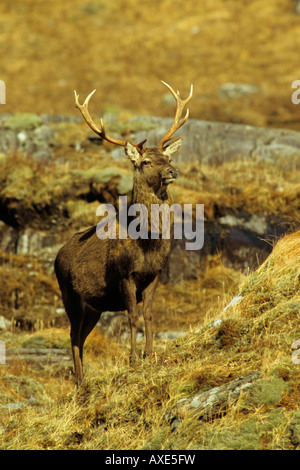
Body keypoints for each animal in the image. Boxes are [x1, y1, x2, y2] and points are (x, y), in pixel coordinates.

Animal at [54, 81, 193, 384]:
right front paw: (133, 359)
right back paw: (79, 381)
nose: (173, 170)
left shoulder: (154, 276)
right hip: (69, 293)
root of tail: (56, 256)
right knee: (72, 335)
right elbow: (132, 316)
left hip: (94, 305)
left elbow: (149, 316)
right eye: (146, 162)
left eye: (167, 156)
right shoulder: (125, 275)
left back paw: (83, 379)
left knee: (81, 337)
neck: (146, 242)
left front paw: (150, 354)